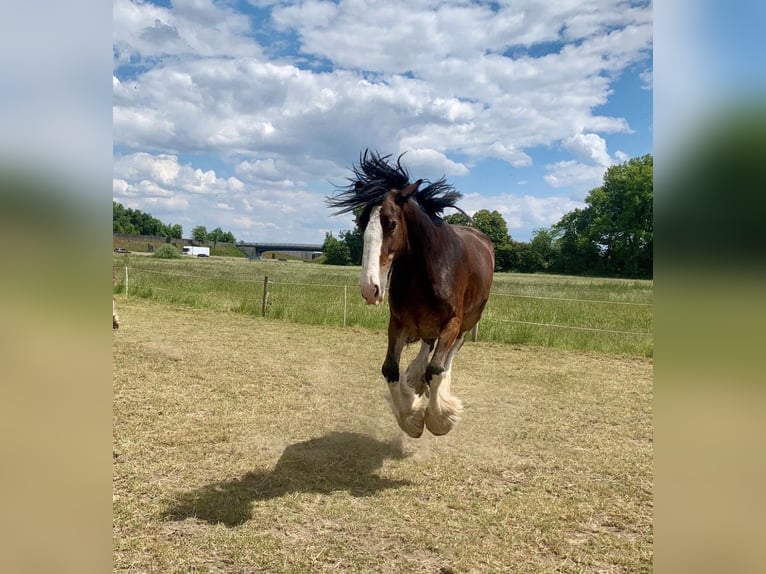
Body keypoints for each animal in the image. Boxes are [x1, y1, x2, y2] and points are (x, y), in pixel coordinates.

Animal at [328, 150, 495, 438]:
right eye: (361, 223)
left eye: (392, 224)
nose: (370, 288)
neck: (427, 271)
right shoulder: (398, 322)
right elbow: (390, 369)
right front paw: (411, 418)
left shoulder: (452, 322)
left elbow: (437, 368)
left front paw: (440, 419)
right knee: (426, 347)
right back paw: (416, 378)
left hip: (470, 319)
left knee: (450, 354)